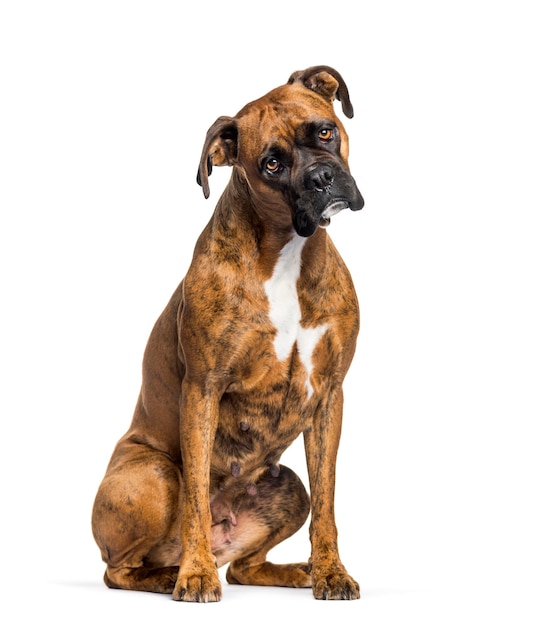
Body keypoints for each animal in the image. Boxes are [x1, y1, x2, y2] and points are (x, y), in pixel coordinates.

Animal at [94, 64, 366, 600]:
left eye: (325, 132)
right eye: (272, 164)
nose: (321, 178)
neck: (285, 248)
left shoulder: (329, 395)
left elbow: (327, 501)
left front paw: (330, 571)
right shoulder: (202, 389)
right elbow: (198, 497)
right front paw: (196, 575)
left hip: (288, 487)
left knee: (244, 566)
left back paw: (295, 572)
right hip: (155, 473)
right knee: (119, 569)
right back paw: (171, 574)